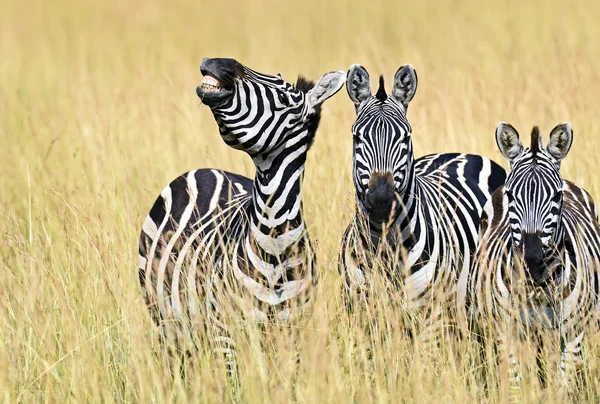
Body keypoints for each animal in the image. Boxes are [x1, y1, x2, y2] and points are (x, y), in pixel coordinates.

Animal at [137, 57, 342, 388]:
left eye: (283, 98)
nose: (218, 62)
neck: (275, 244)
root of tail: (204, 170)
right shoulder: (226, 333)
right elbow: (235, 388)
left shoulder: (293, 334)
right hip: (164, 319)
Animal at [338, 64, 506, 344]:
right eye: (356, 139)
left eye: (406, 138)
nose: (382, 200)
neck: (385, 246)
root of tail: (462, 154)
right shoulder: (361, 318)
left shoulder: (431, 319)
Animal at [468, 123, 600, 394]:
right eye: (511, 196)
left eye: (557, 197)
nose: (532, 263)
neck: (538, 291)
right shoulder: (505, 331)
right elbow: (516, 385)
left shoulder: (573, 334)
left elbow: (562, 387)